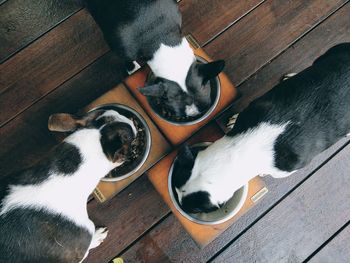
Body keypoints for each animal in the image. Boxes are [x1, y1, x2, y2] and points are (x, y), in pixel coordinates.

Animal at [86, 0, 226, 118]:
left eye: (204, 107)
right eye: (175, 113)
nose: (193, 116)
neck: (157, 36)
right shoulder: (123, 49)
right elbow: (127, 59)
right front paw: (132, 68)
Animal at [174, 43, 350, 214]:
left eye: (194, 209)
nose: (181, 206)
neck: (244, 148)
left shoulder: (287, 169)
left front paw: (264, 172)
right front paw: (234, 120)